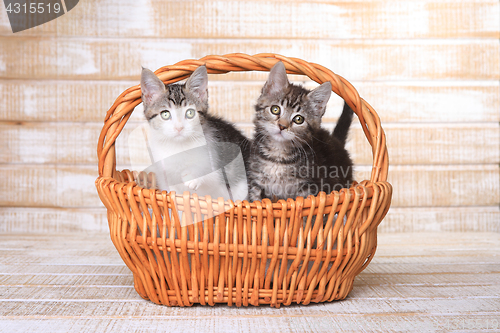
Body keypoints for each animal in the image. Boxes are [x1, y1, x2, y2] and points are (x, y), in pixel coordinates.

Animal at [248, 61, 354, 201]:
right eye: (275, 109)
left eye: (299, 119)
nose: (282, 126)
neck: (278, 157)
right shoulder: (257, 185)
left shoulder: (309, 188)